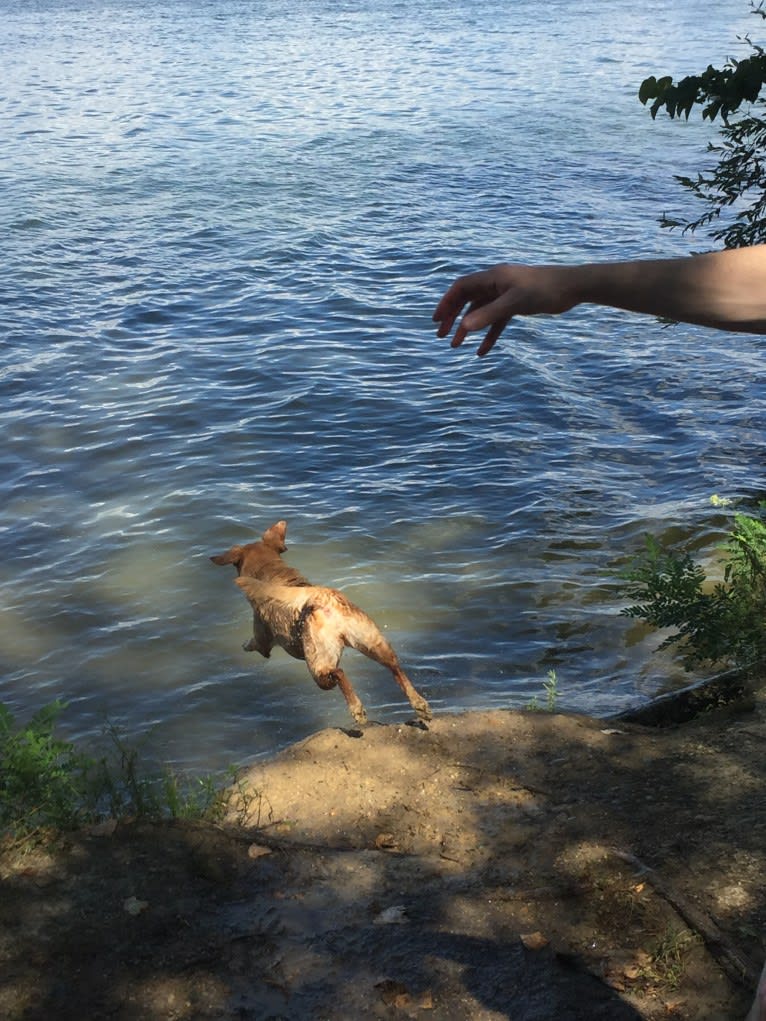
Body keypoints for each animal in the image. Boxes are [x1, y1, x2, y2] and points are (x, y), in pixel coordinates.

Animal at [210, 518, 433, 726]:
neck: (271, 573)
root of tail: (323, 597)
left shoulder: (262, 637)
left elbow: (255, 644)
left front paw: (245, 645)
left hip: (318, 663)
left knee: (339, 673)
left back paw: (357, 709)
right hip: (373, 642)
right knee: (395, 668)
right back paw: (419, 704)